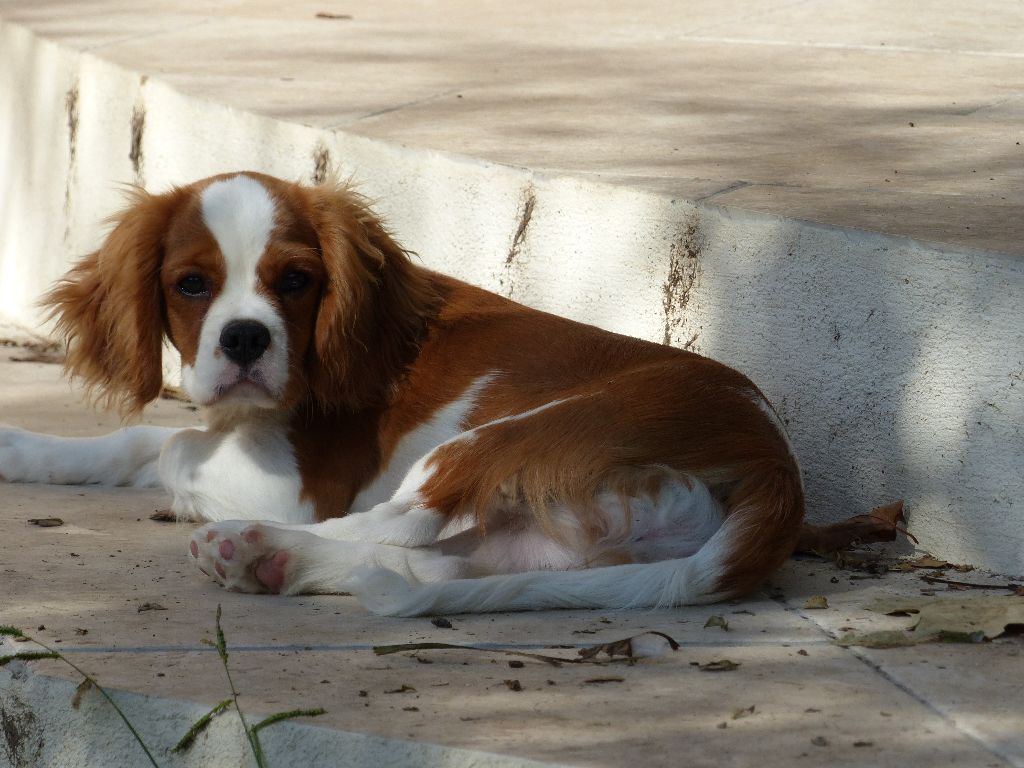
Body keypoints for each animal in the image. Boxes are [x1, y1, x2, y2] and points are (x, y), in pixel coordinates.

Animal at [0, 171, 802, 618]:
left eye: (297, 280)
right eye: (190, 285)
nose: (245, 340)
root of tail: (772, 465)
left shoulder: (300, 486)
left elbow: (172, 445)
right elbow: (140, 439)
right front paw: (24, 449)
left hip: (507, 436)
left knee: (396, 527)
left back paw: (255, 544)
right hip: (555, 533)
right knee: (436, 562)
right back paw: (275, 565)